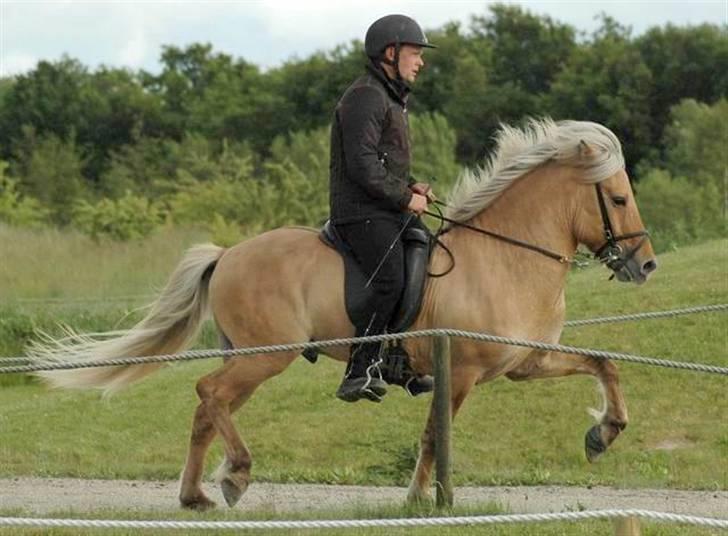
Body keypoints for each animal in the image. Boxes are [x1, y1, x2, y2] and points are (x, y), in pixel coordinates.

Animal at [32, 118, 660, 510]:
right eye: (619, 198)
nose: (646, 265)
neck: (505, 256)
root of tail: (228, 254)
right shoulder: (458, 373)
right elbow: (433, 436)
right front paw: (417, 501)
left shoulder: (525, 363)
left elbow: (603, 362)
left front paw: (604, 433)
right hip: (269, 357)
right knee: (209, 393)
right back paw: (236, 473)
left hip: (255, 361)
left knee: (209, 409)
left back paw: (199, 494)